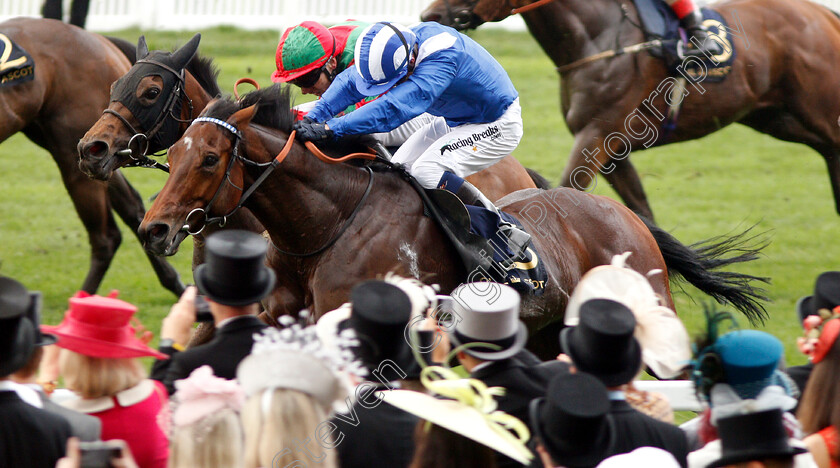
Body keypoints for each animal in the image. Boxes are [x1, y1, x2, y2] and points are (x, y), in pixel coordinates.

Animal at [138, 87, 768, 358]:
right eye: (172, 154)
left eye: (210, 158)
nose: (154, 229)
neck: (322, 229)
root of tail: (626, 216)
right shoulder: (271, 314)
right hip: (545, 334)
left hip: (648, 308)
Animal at [420, 0, 840, 221]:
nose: (429, 15)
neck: (599, 36)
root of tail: (823, 14)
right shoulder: (612, 149)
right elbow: (641, 210)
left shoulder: (596, 136)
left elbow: (565, 191)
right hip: (780, 118)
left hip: (815, 112)